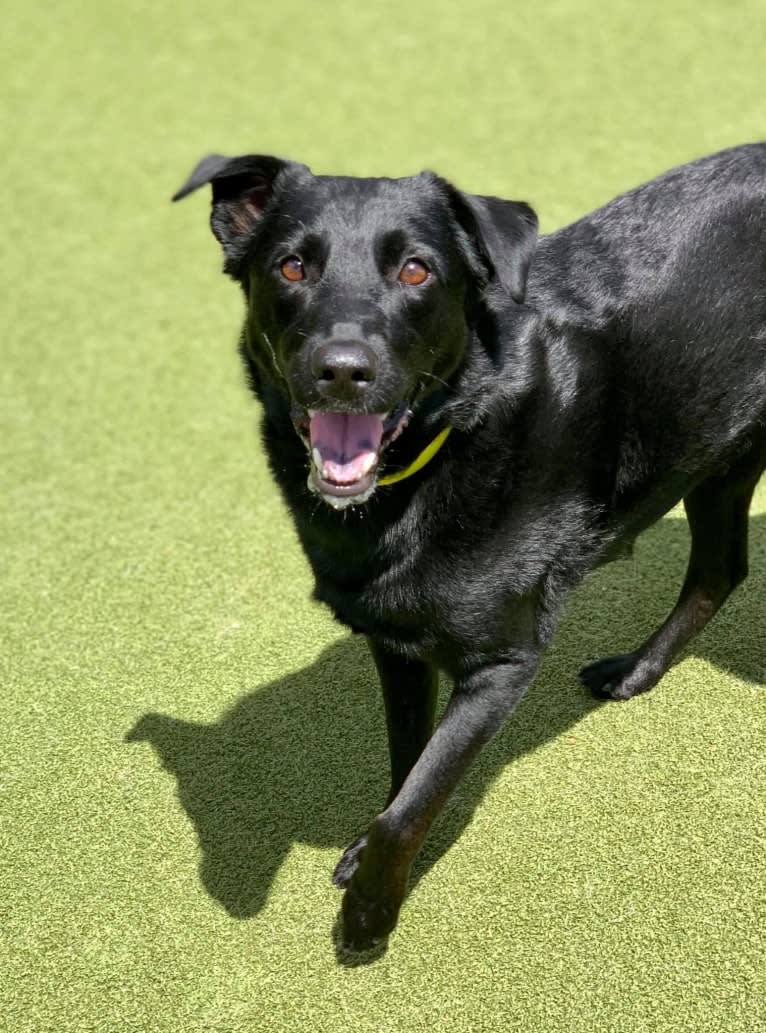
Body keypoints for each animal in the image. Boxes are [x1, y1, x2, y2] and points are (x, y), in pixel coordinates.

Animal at [174, 145, 766, 950]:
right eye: (291, 267)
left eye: (416, 271)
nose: (343, 369)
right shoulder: (397, 645)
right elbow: (406, 770)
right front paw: (363, 858)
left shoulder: (500, 665)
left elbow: (413, 803)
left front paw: (367, 918)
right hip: (717, 457)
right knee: (720, 568)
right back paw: (635, 672)